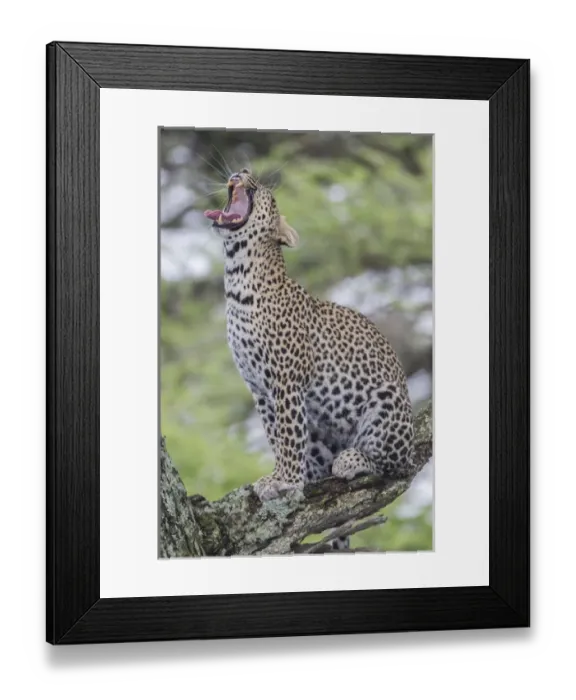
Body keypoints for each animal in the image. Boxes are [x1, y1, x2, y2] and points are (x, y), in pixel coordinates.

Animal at [204, 169, 415, 550]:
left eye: (266, 193)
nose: (243, 172)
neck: (237, 278)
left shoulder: (286, 380)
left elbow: (287, 435)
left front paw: (285, 480)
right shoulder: (259, 389)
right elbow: (276, 435)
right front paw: (280, 475)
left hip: (387, 408)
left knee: (395, 464)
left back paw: (352, 459)